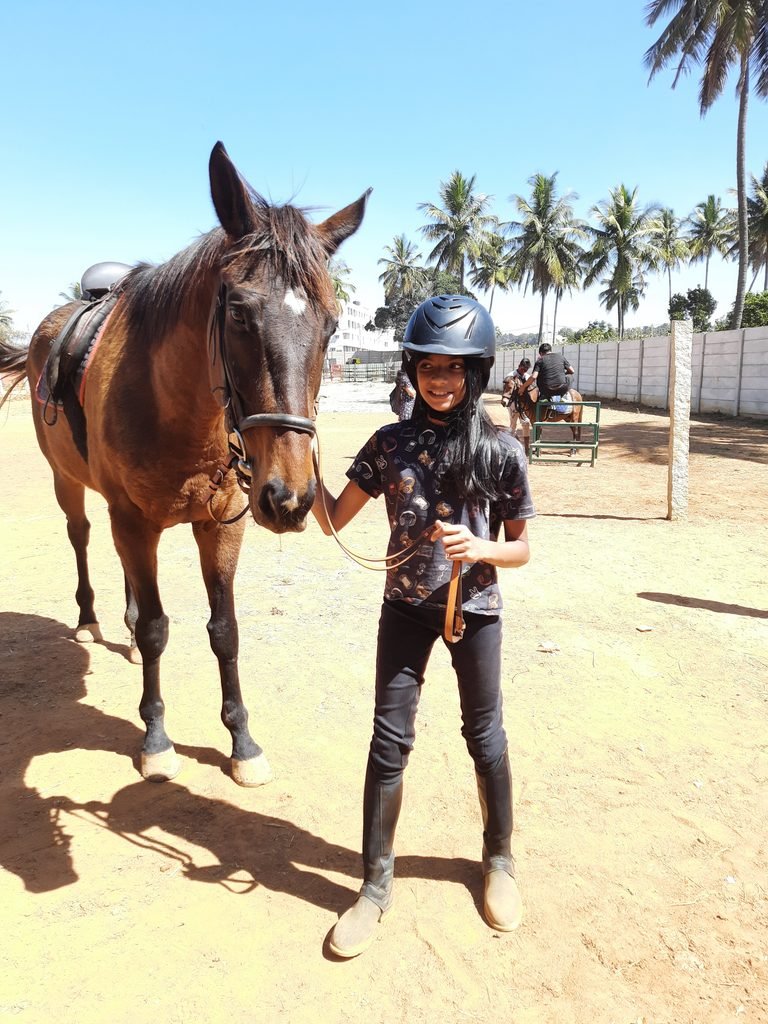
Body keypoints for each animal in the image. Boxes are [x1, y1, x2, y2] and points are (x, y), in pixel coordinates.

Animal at [0, 141, 370, 787]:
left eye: (329, 325)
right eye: (240, 314)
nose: (291, 498)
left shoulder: (220, 525)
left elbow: (225, 631)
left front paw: (242, 742)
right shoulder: (133, 519)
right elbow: (156, 630)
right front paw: (155, 739)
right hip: (68, 483)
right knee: (82, 535)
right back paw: (91, 619)